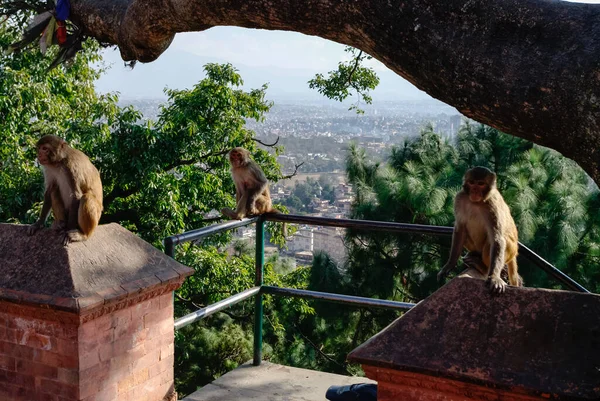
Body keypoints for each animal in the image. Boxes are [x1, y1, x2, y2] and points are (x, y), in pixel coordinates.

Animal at [438, 166, 524, 294]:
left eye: (481, 184)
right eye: (472, 182)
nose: (474, 191)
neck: (477, 202)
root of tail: (515, 252)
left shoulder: (492, 205)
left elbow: (497, 239)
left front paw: (494, 278)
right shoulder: (460, 198)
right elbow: (460, 229)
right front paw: (449, 265)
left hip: (511, 250)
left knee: (491, 244)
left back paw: (484, 268)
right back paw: (475, 256)